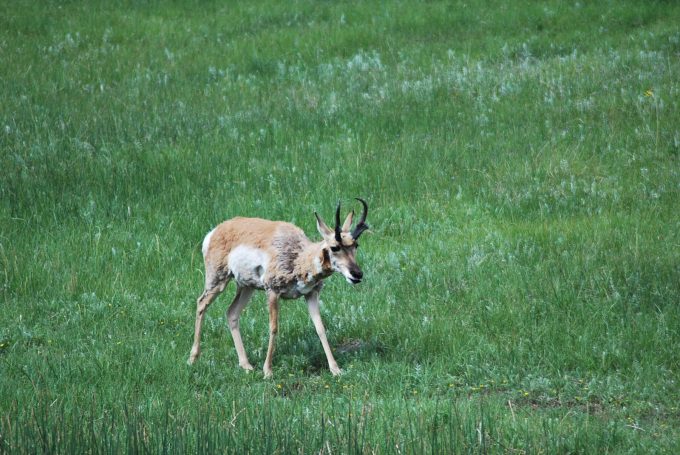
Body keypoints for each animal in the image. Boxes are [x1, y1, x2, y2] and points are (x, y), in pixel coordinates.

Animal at [187, 199, 372, 378]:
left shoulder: (311, 294)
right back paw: (193, 358)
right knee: (201, 303)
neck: (299, 256)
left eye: (356, 245)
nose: (357, 274)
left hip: (247, 287)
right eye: (335, 247)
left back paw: (246, 365)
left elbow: (320, 328)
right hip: (217, 280)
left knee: (231, 313)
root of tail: (216, 231)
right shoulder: (272, 292)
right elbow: (274, 328)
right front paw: (268, 371)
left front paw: (335, 369)